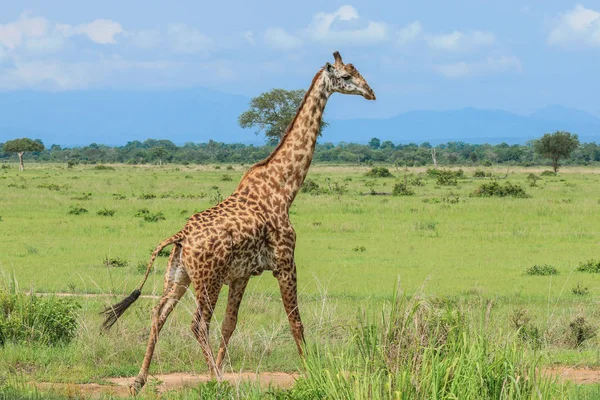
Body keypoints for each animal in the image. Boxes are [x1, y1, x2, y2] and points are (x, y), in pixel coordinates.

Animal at [102, 51, 376, 396]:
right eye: (347, 77)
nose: (371, 93)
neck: (285, 189)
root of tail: (181, 235)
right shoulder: (285, 262)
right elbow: (295, 321)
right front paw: (312, 373)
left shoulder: (242, 274)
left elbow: (230, 324)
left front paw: (218, 369)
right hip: (208, 280)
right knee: (197, 324)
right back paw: (217, 382)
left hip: (179, 276)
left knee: (159, 314)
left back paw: (139, 381)